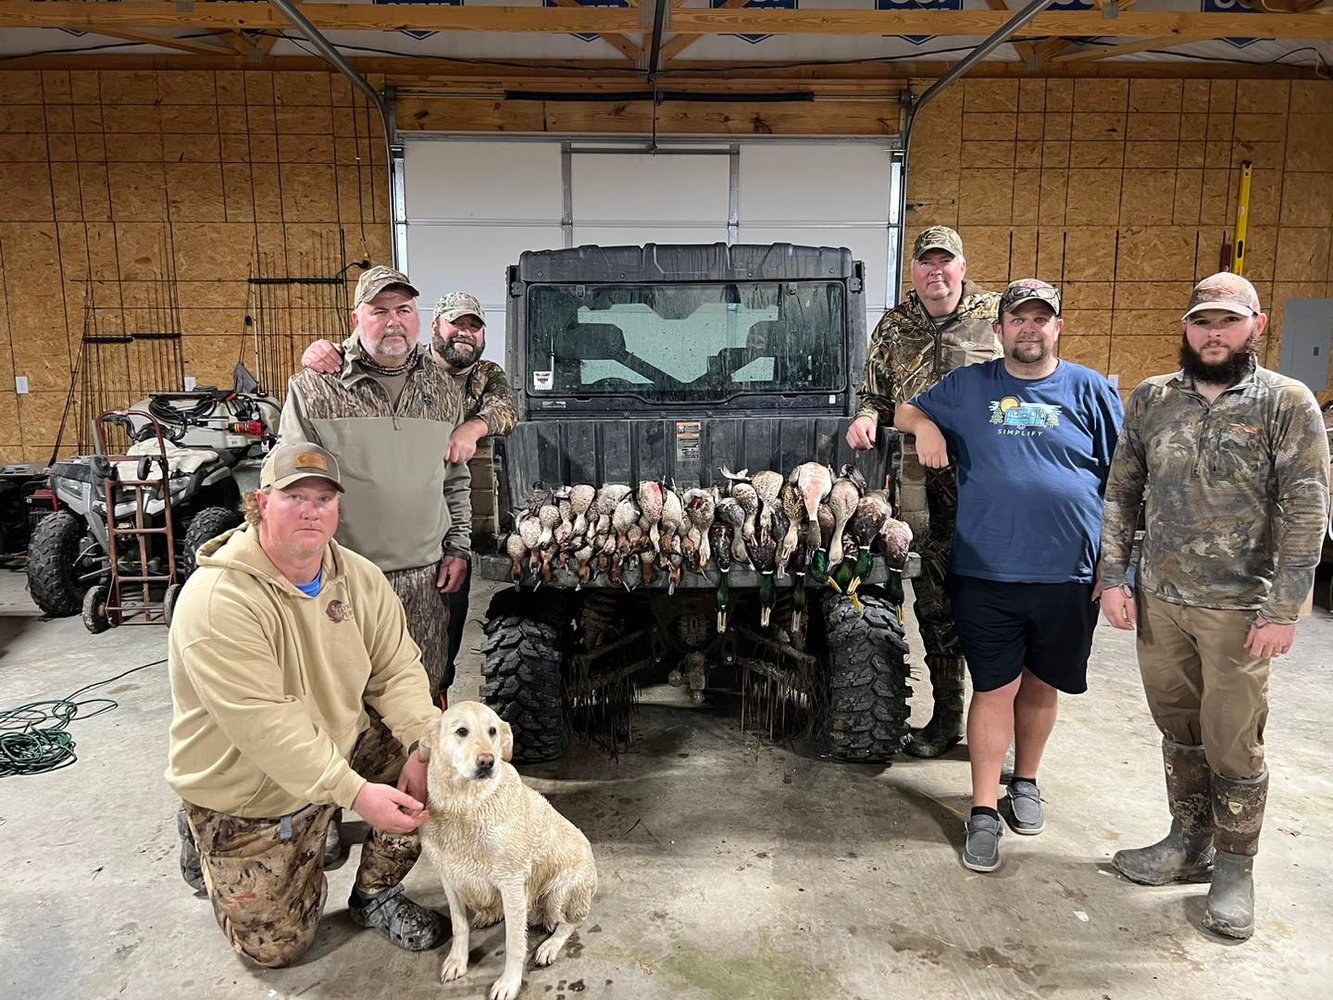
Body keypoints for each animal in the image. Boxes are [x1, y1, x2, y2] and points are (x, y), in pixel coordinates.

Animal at [421, 704, 599, 1000]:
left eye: (492, 731)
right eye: (461, 731)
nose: (487, 761)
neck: (465, 806)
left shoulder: (512, 883)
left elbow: (514, 943)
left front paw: (509, 983)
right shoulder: (449, 879)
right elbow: (459, 926)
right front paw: (457, 961)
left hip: (560, 893)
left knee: (570, 922)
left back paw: (549, 946)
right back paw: (489, 914)